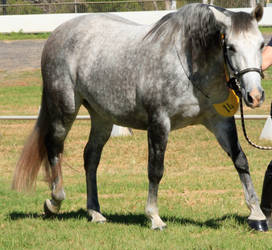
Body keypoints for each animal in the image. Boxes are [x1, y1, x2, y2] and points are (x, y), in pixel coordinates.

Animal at [12, 3, 268, 230]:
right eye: (231, 47)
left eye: (261, 45)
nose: (255, 96)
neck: (189, 65)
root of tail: (57, 33)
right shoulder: (159, 123)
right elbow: (155, 170)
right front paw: (154, 217)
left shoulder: (219, 121)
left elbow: (240, 160)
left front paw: (257, 214)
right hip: (64, 109)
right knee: (54, 147)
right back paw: (54, 201)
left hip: (102, 118)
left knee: (91, 157)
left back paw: (95, 212)